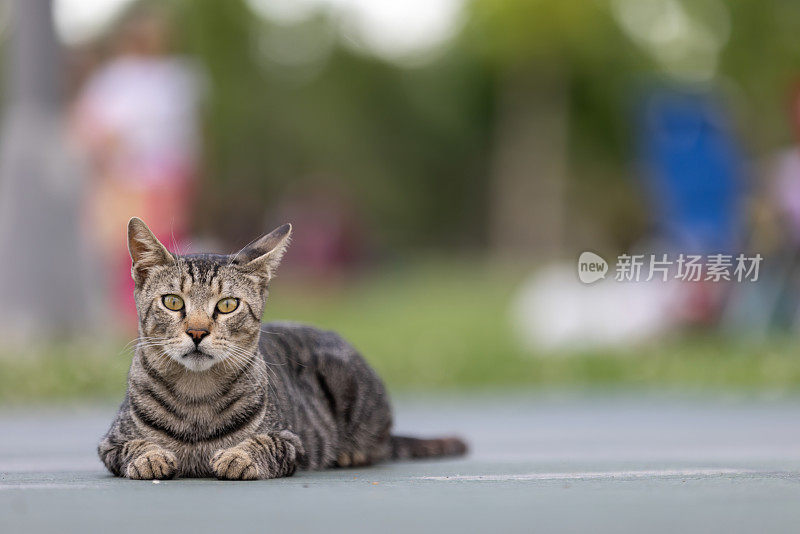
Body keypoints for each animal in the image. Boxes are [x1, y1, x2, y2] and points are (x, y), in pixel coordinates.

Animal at [98, 218, 468, 482]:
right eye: (173, 302)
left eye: (228, 305)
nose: (197, 331)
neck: (197, 396)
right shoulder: (109, 443)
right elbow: (134, 445)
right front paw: (150, 456)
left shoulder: (292, 441)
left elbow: (265, 442)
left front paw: (239, 455)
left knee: (378, 445)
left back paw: (350, 453)